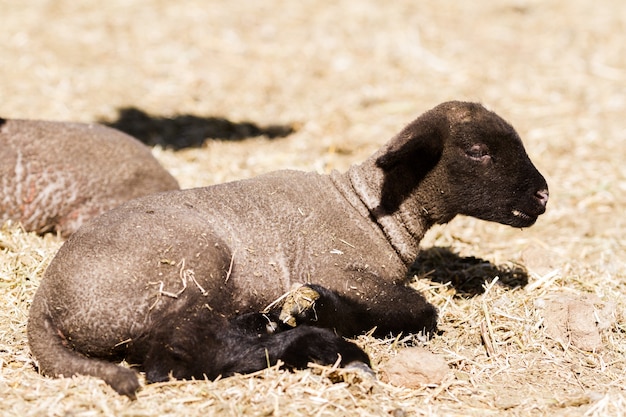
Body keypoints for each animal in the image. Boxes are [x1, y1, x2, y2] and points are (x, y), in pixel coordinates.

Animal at [26, 101, 544, 396]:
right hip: (190, 273)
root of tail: (44, 305)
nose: (542, 196)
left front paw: (307, 310)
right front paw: (317, 309)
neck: (368, 208)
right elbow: (422, 311)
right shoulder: (337, 269)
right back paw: (325, 347)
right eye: (477, 150)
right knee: (179, 357)